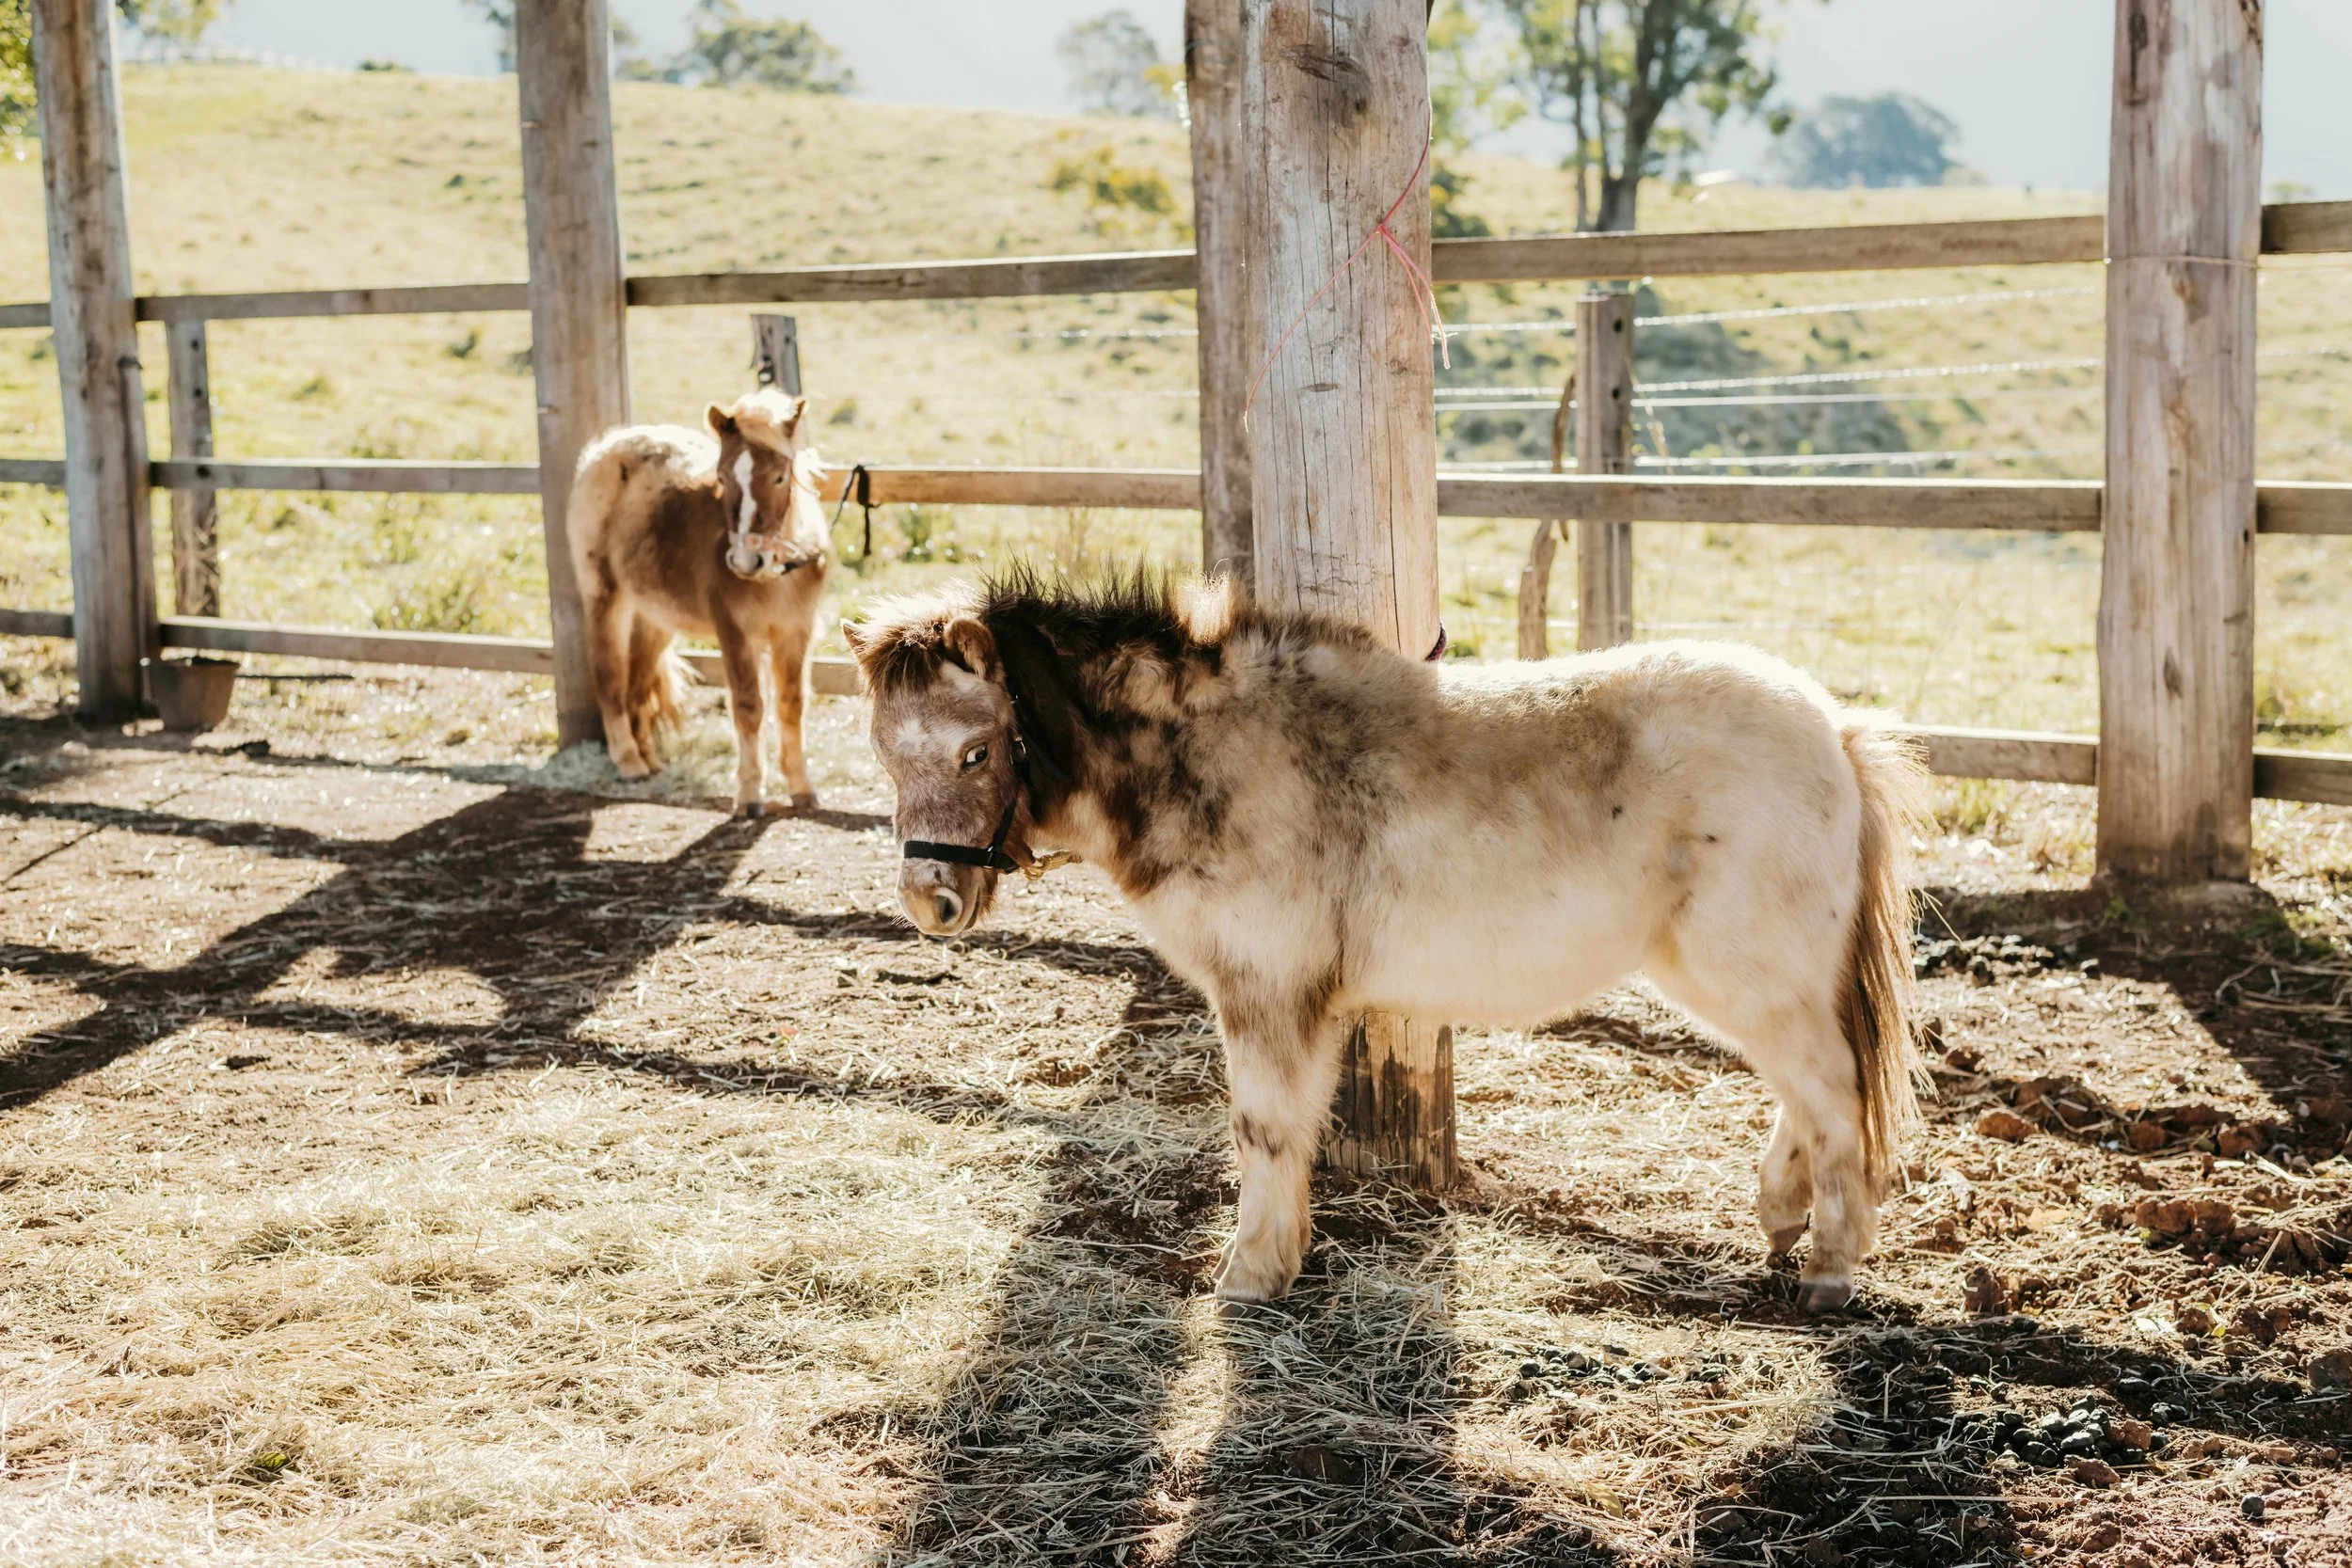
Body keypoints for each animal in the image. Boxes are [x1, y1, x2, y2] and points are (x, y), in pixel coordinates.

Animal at [567, 388, 829, 816]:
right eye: (721, 477)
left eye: (778, 476)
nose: (746, 561)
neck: (777, 574)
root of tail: (604, 450)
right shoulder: (736, 634)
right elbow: (748, 708)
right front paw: (749, 793)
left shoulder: (796, 633)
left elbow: (791, 706)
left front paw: (801, 788)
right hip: (605, 600)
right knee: (609, 677)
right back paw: (629, 761)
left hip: (655, 619)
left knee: (637, 685)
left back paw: (650, 758)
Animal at [843, 570, 1926, 1312]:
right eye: (884, 751)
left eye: (977, 749)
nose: (930, 901)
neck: (1215, 756)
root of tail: (1835, 728)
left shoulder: (1267, 995)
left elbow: (1265, 1129)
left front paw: (1251, 1273)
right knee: (1807, 1090)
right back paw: (1781, 1218)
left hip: (1750, 975)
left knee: (1832, 1093)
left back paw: (1828, 1268)